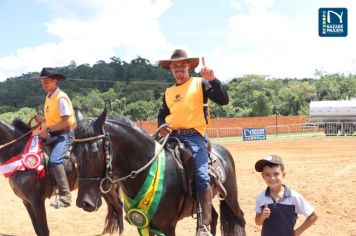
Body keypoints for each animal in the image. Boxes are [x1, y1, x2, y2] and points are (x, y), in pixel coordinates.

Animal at [73, 109, 246, 236]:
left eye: (95, 152)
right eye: (73, 154)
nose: (83, 203)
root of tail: (222, 150)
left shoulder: (167, 227)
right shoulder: (143, 225)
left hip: (230, 195)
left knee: (240, 219)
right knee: (213, 217)